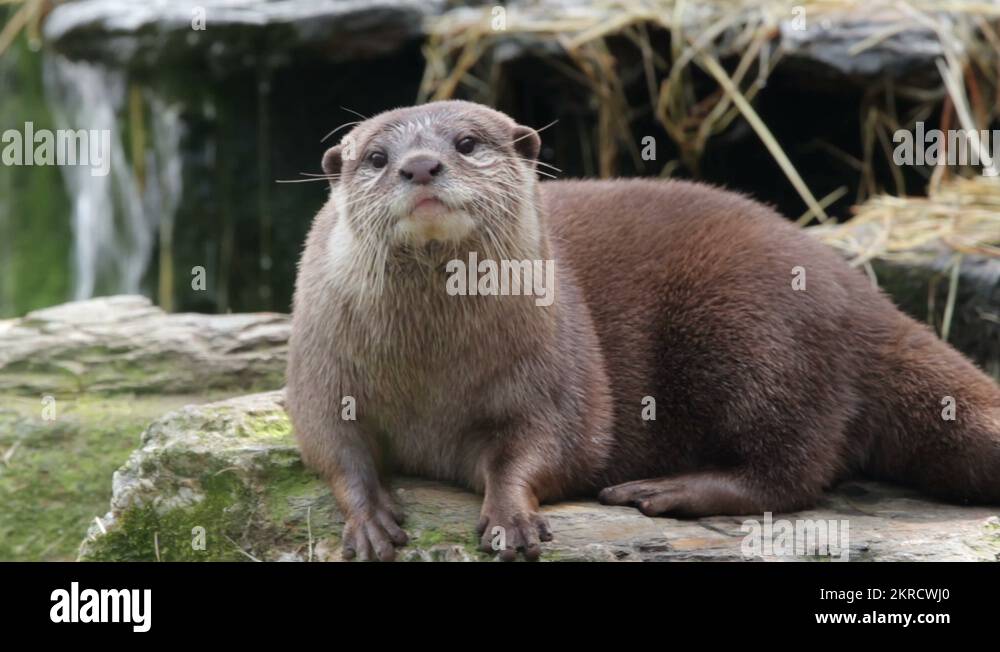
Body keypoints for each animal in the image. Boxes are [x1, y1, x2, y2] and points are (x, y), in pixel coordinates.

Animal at [286, 100, 1000, 561]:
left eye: (465, 144)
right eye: (377, 156)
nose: (420, 166)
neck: (431, 371)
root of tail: (856, 290)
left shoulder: (556, 373)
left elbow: (553, 445)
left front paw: (512, 515)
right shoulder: (320, 367)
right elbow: (329, 442)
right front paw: (369, 519)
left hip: (754, 331)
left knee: (794, 468)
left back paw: (665, 489)